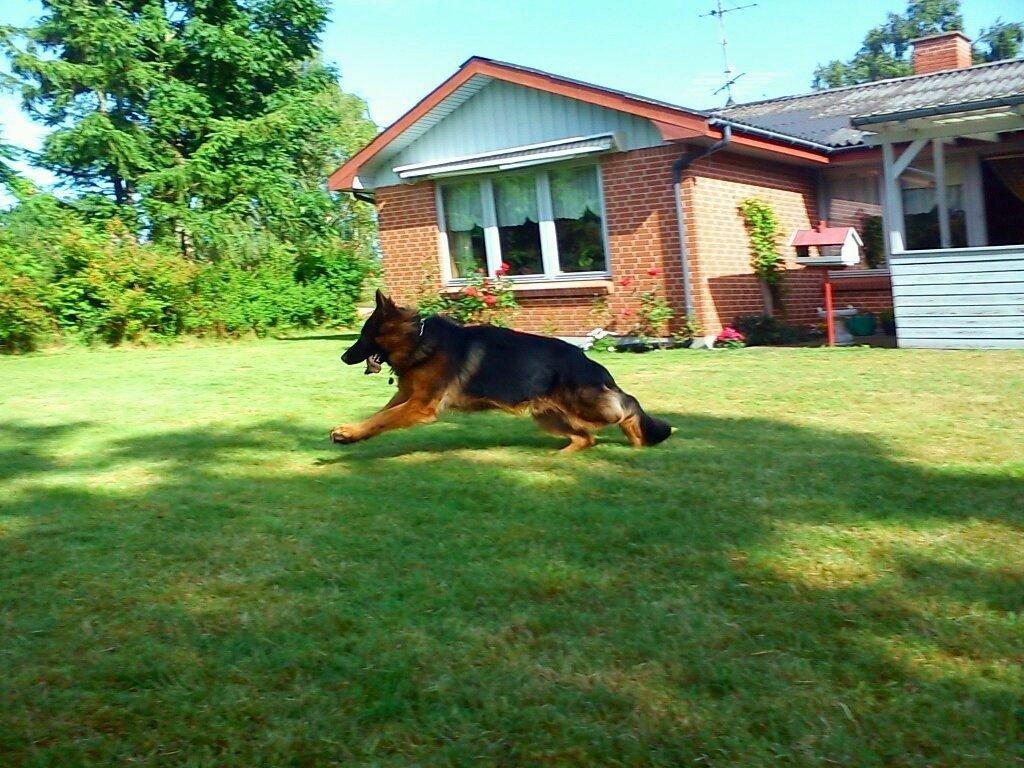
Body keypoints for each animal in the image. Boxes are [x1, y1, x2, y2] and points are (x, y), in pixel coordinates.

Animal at [331, 290, 675, 454]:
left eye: (363, 335)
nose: (343, 357)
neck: (418, 338)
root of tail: (586, 360)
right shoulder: (407, 396)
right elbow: (380, 415)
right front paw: (353, 433)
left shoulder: (419, 405)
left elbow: (384, 418)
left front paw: (348, 432)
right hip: (547, 416)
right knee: (588, 438)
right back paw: (559, 456)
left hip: (587, 405)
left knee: (626, 405)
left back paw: (638, 437)